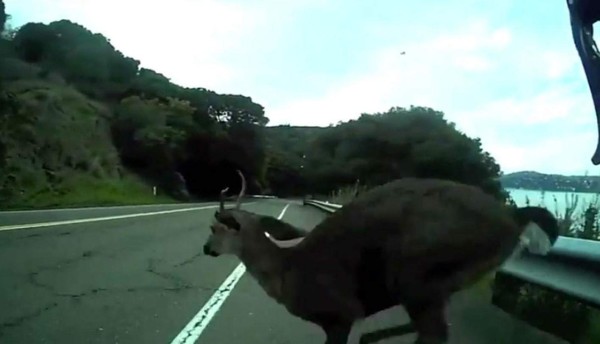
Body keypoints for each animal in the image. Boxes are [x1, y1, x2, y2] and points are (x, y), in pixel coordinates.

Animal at [202, 170, 556, 344]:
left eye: (214, 228)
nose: (206, 249)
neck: (289, 273)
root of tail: (513, 217)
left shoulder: (338, 314)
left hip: (417, 268)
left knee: (434, 334)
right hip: (436, 281)